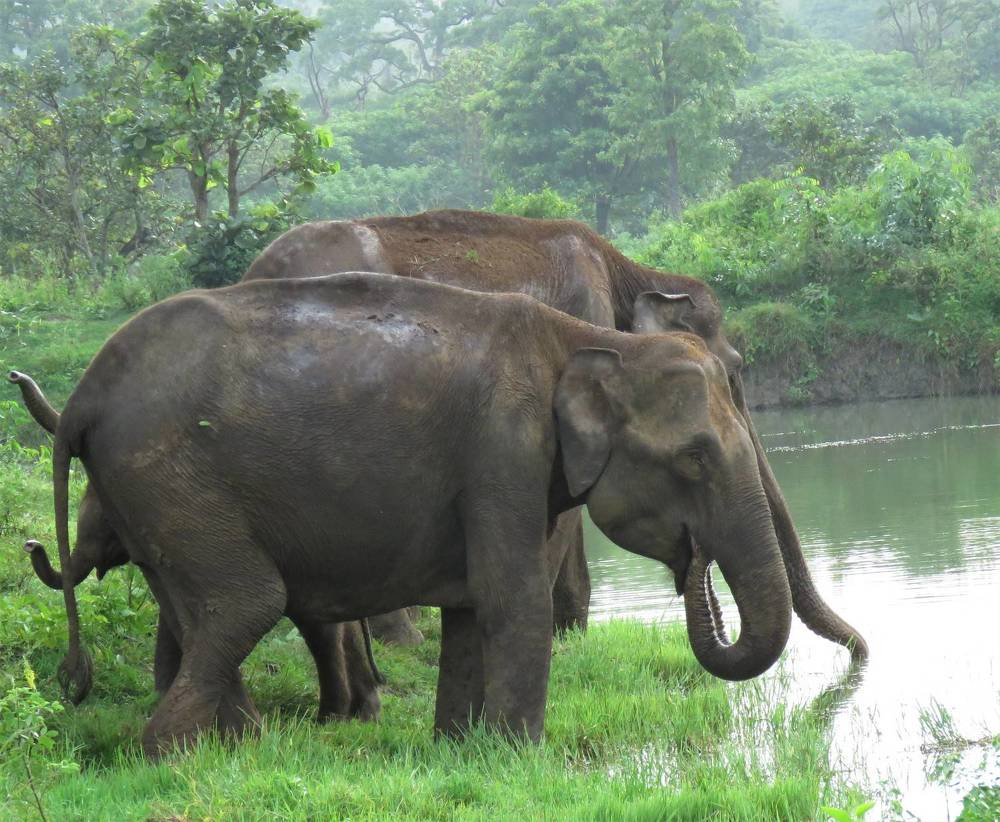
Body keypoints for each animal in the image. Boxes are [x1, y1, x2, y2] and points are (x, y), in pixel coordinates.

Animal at [48, 272, 794, 757]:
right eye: (694, 458)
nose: (695, 567)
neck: (580, 339)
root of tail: (83, 395)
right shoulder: (502, 448)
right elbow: (513, 599)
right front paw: (520, 758)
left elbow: (469, 610)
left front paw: (459, 749)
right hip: (169, 477)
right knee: (245, 603)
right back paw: (168, 754)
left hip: (147, 495)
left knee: (193, 608)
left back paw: (233, 746)